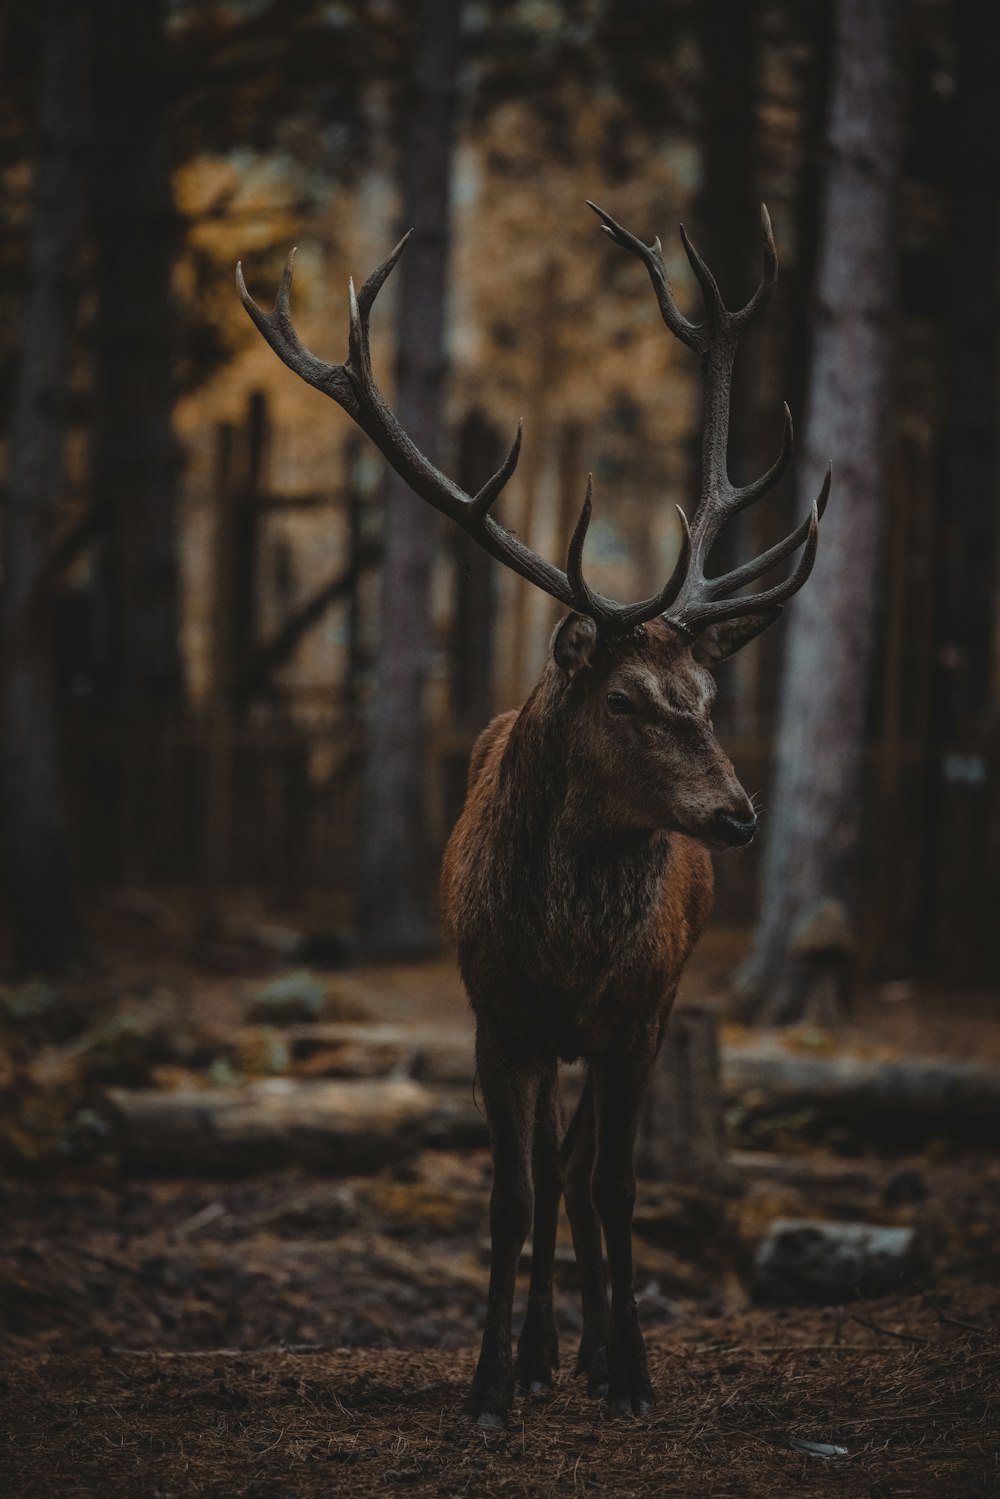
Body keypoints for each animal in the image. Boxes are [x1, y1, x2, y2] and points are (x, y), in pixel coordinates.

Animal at [238, 202, 833, 1427]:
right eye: (623, 699)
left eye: (707, 697)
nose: (736, 815)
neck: (564, 954)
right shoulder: (495, 1015)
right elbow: (511, 1194)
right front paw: (488, 1383)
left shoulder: (639, 1015)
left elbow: (615, 1185)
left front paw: (632, 1372)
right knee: (550, 1171)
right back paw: (542, 1351)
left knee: (584, 1171)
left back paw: (588, 1348)